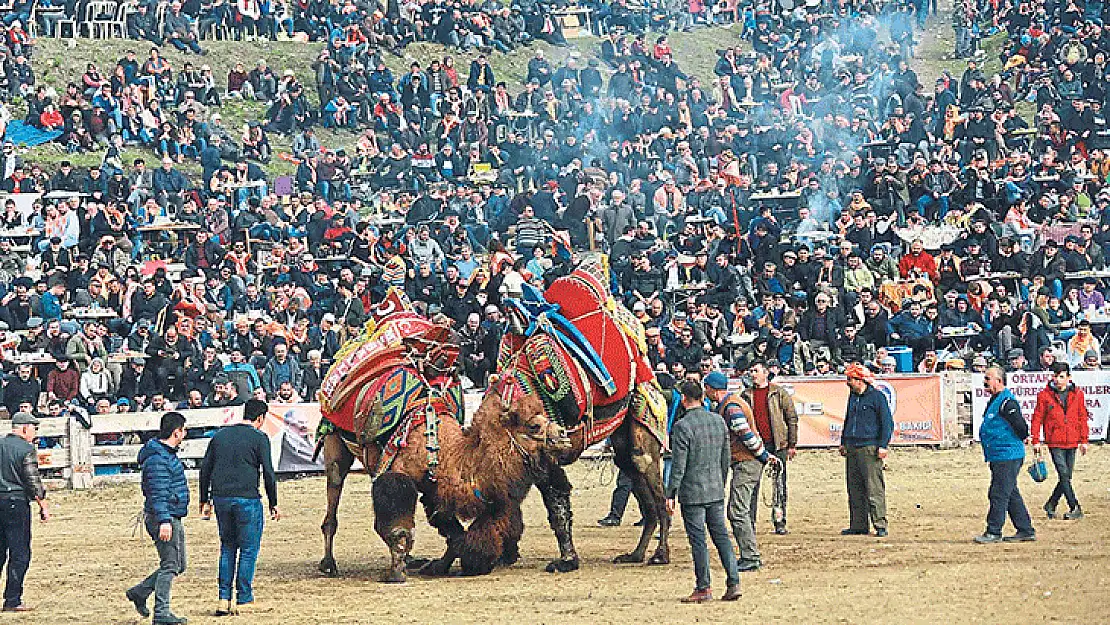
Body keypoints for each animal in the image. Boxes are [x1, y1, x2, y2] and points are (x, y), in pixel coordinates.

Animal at [317, 390, 568, 581]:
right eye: (534, 425)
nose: (564, 433)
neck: (442, 450)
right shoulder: (397, 474)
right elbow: (397, 525)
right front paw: (396, 573)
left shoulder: (435, 491)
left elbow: (455, 532)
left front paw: (440, 565)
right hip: (334, 442)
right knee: (334, 488)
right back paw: (328, 564)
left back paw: (412, 560)